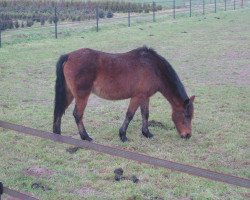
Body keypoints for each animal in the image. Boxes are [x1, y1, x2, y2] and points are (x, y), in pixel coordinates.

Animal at [52, 46, 195, 141]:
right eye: (186, 115)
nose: (187, 135)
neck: (153, 67)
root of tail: (69, 56)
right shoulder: (137, 97)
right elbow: (129, 115)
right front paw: (123, 135)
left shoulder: (145, 97)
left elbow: (145, 114)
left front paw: (147, 133)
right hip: (82, 96)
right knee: (77, 114)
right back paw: (85, 137)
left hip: (69, 94)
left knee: (60, 110)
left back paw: (57, 133)